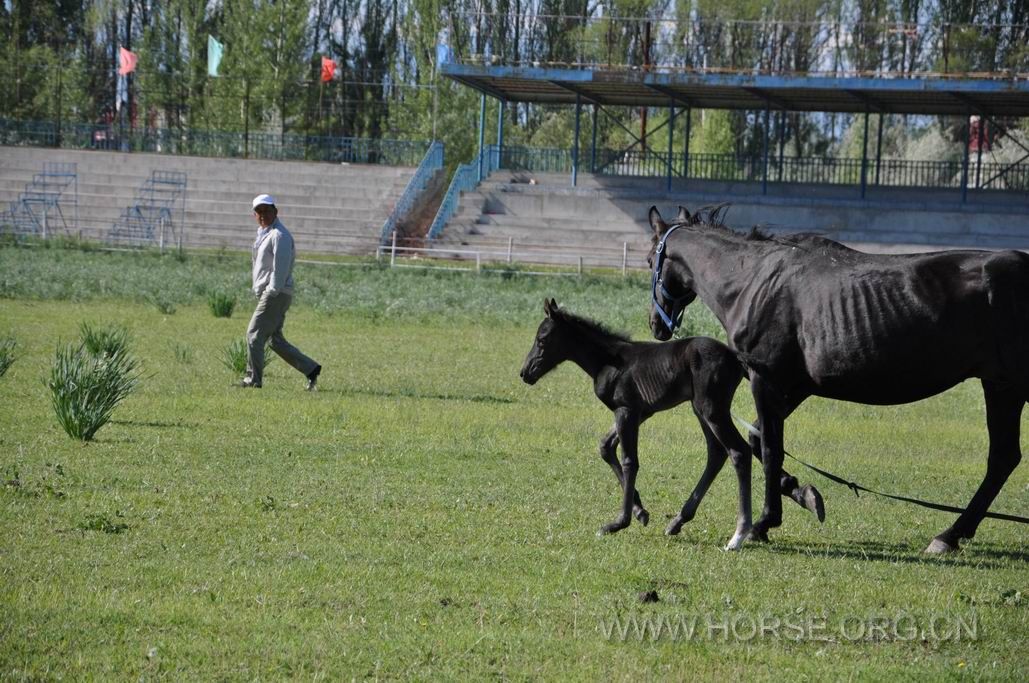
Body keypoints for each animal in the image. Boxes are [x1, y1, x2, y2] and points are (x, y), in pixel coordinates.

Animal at [518, 298, 823, 551]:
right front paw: (641, 512)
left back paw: (738, 534)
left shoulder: (626, 410)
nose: (525, 373)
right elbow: (606, 447)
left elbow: (629, 461)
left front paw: (618, 522)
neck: (609, 360)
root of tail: (734, 356)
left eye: (542, 339)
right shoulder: (640, 412)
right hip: (700, 410)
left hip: (711, 409)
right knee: (717, 452)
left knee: (738, 452)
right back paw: (679, 521)